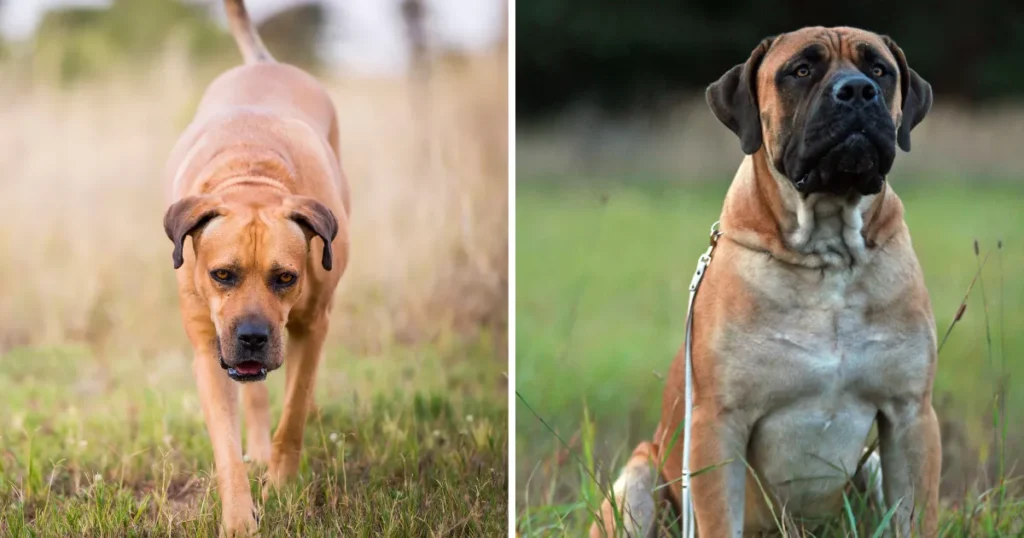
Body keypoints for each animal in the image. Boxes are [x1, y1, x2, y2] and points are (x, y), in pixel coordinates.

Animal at [161, 2, 350, 532]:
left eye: (286, 278)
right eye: (221, 274)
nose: (251, 337)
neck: (251, 178)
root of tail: (265, 62)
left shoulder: (313, 325)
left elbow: (295, 412)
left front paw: (281, 488)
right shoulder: (208, 349)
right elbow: (226, 447)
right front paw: (239, 518)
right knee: (255, 395)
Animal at [589, 27, 937, 532]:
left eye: (879, 70)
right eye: (801, 70)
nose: (857, 90)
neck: (827, 254)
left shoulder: (912, 417)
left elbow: (915, 516)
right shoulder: (718, 425)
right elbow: (718, 519)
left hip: (871, 465)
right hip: (638, 477)